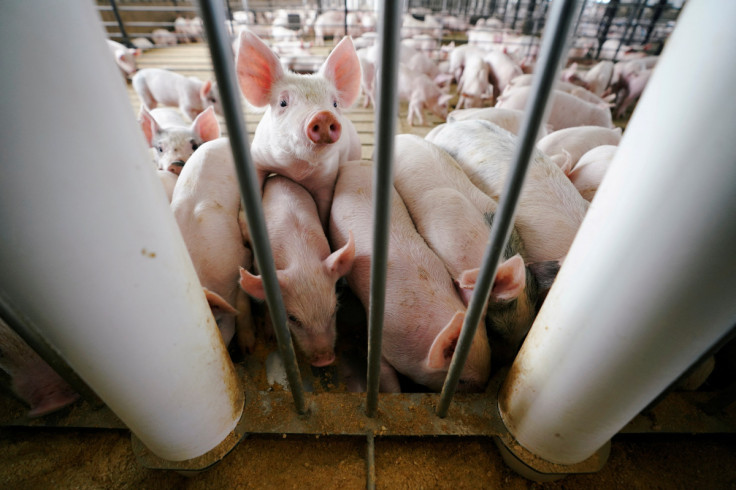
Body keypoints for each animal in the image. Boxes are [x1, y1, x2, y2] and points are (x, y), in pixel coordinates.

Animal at [236, 31, 362, 228]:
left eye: (335, 103)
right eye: (283, 102)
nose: (323, 115)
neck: (295, 170)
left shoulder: (327, 179)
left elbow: (324, 209)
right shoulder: (257, 157)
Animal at [237, 175, 356, 364]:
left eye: (333, 310)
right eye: (293, 318)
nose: (325, 360)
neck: (302, 258)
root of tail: (276, 177)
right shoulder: (258, 265)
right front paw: (270, 337)